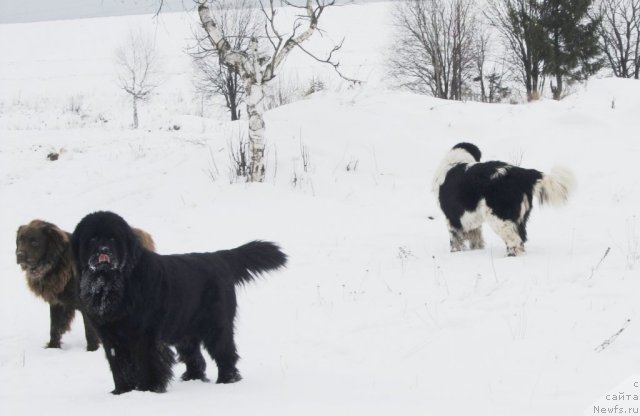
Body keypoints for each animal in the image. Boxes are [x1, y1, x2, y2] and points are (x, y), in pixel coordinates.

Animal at [15, 219, 156, 350]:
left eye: (34, 242)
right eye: (20, 240)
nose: (19, 255)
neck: (58, 263)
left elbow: (89, 332)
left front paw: (92, 349)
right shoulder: (57, 303)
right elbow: (54, 328)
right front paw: (53, 348)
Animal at [70, 211, 288, 394]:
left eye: (113, 238)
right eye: (93, 238)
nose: (103, 250)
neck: (113, 283)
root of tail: (218, 257)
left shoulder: (144, 335)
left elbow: (148, 363)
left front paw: (149, 389)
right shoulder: (111, 336)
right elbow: (119, 366)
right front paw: (122, 392)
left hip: (216, 324)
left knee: (225, 352)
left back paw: (227, 380)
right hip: (185, 330)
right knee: (196, 358)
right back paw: (193, 378)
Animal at [432, 141, 576, 255]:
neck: (455, 162)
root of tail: (522, 174)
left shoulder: (452, 219)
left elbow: (455, 241)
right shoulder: (471, 222)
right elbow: (476, 239)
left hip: (500, 218)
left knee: (515, 241)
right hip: (518, 219)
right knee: (521, 239)